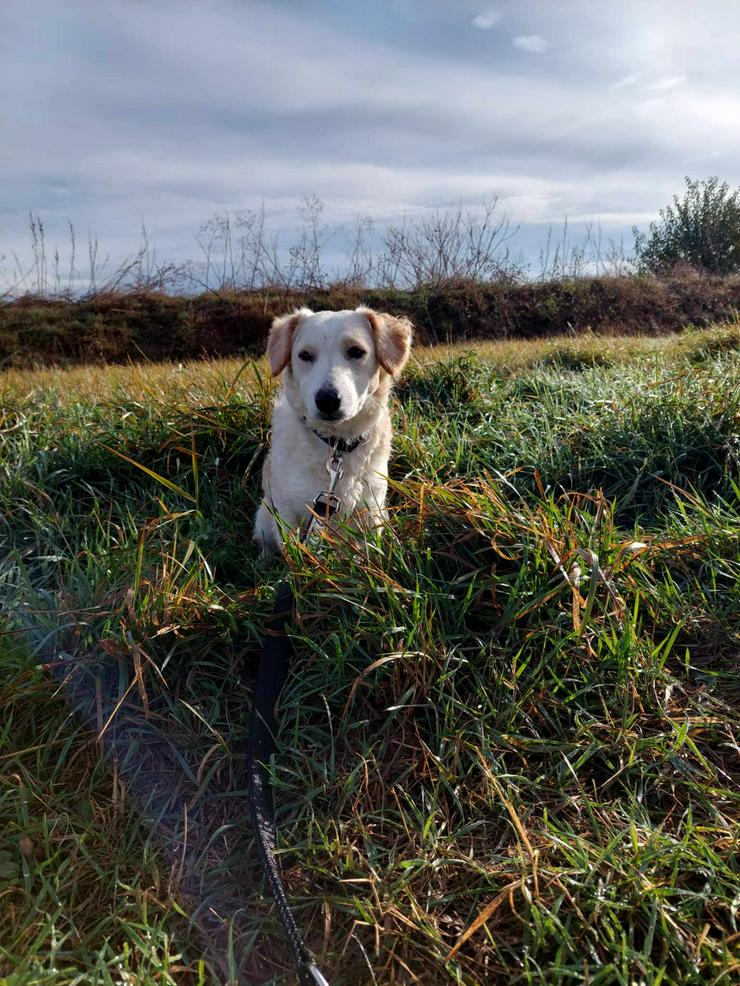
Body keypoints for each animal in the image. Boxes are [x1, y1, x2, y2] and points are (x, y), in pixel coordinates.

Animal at [254, 306, 414, 552]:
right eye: (305, 355)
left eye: (356, 351)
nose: (327, 400)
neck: (336, 443)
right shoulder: (286, 514)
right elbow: (294, 553)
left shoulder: (371, 509)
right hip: (263, 516)